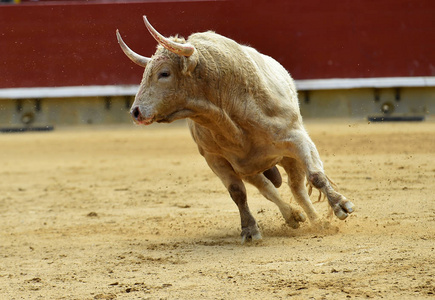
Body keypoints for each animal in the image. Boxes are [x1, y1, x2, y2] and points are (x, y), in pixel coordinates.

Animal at [115, 15, 354, 243]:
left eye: (164, 73)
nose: (135, 112)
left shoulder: (296, 139)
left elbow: (316, 175)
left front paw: (341, 206)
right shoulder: (215, 159)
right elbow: (238, 193)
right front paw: (249, 230)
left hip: (286, 158)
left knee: (298, 189)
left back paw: (318, 222)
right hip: (249, 168)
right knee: (268, 189)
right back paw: (293, 216)